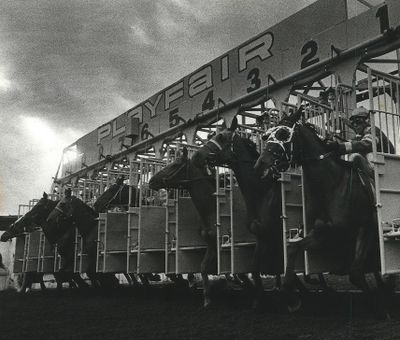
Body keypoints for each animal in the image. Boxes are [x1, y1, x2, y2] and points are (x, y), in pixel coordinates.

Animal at [253, 107, 390, 318]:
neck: (332, 186)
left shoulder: (365, 227)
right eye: (266, 136)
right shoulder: (322, 233)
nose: (260, 166)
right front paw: (292, 299)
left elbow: (356, 273)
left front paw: (379, 309)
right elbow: (293, 249)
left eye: (283, 133)